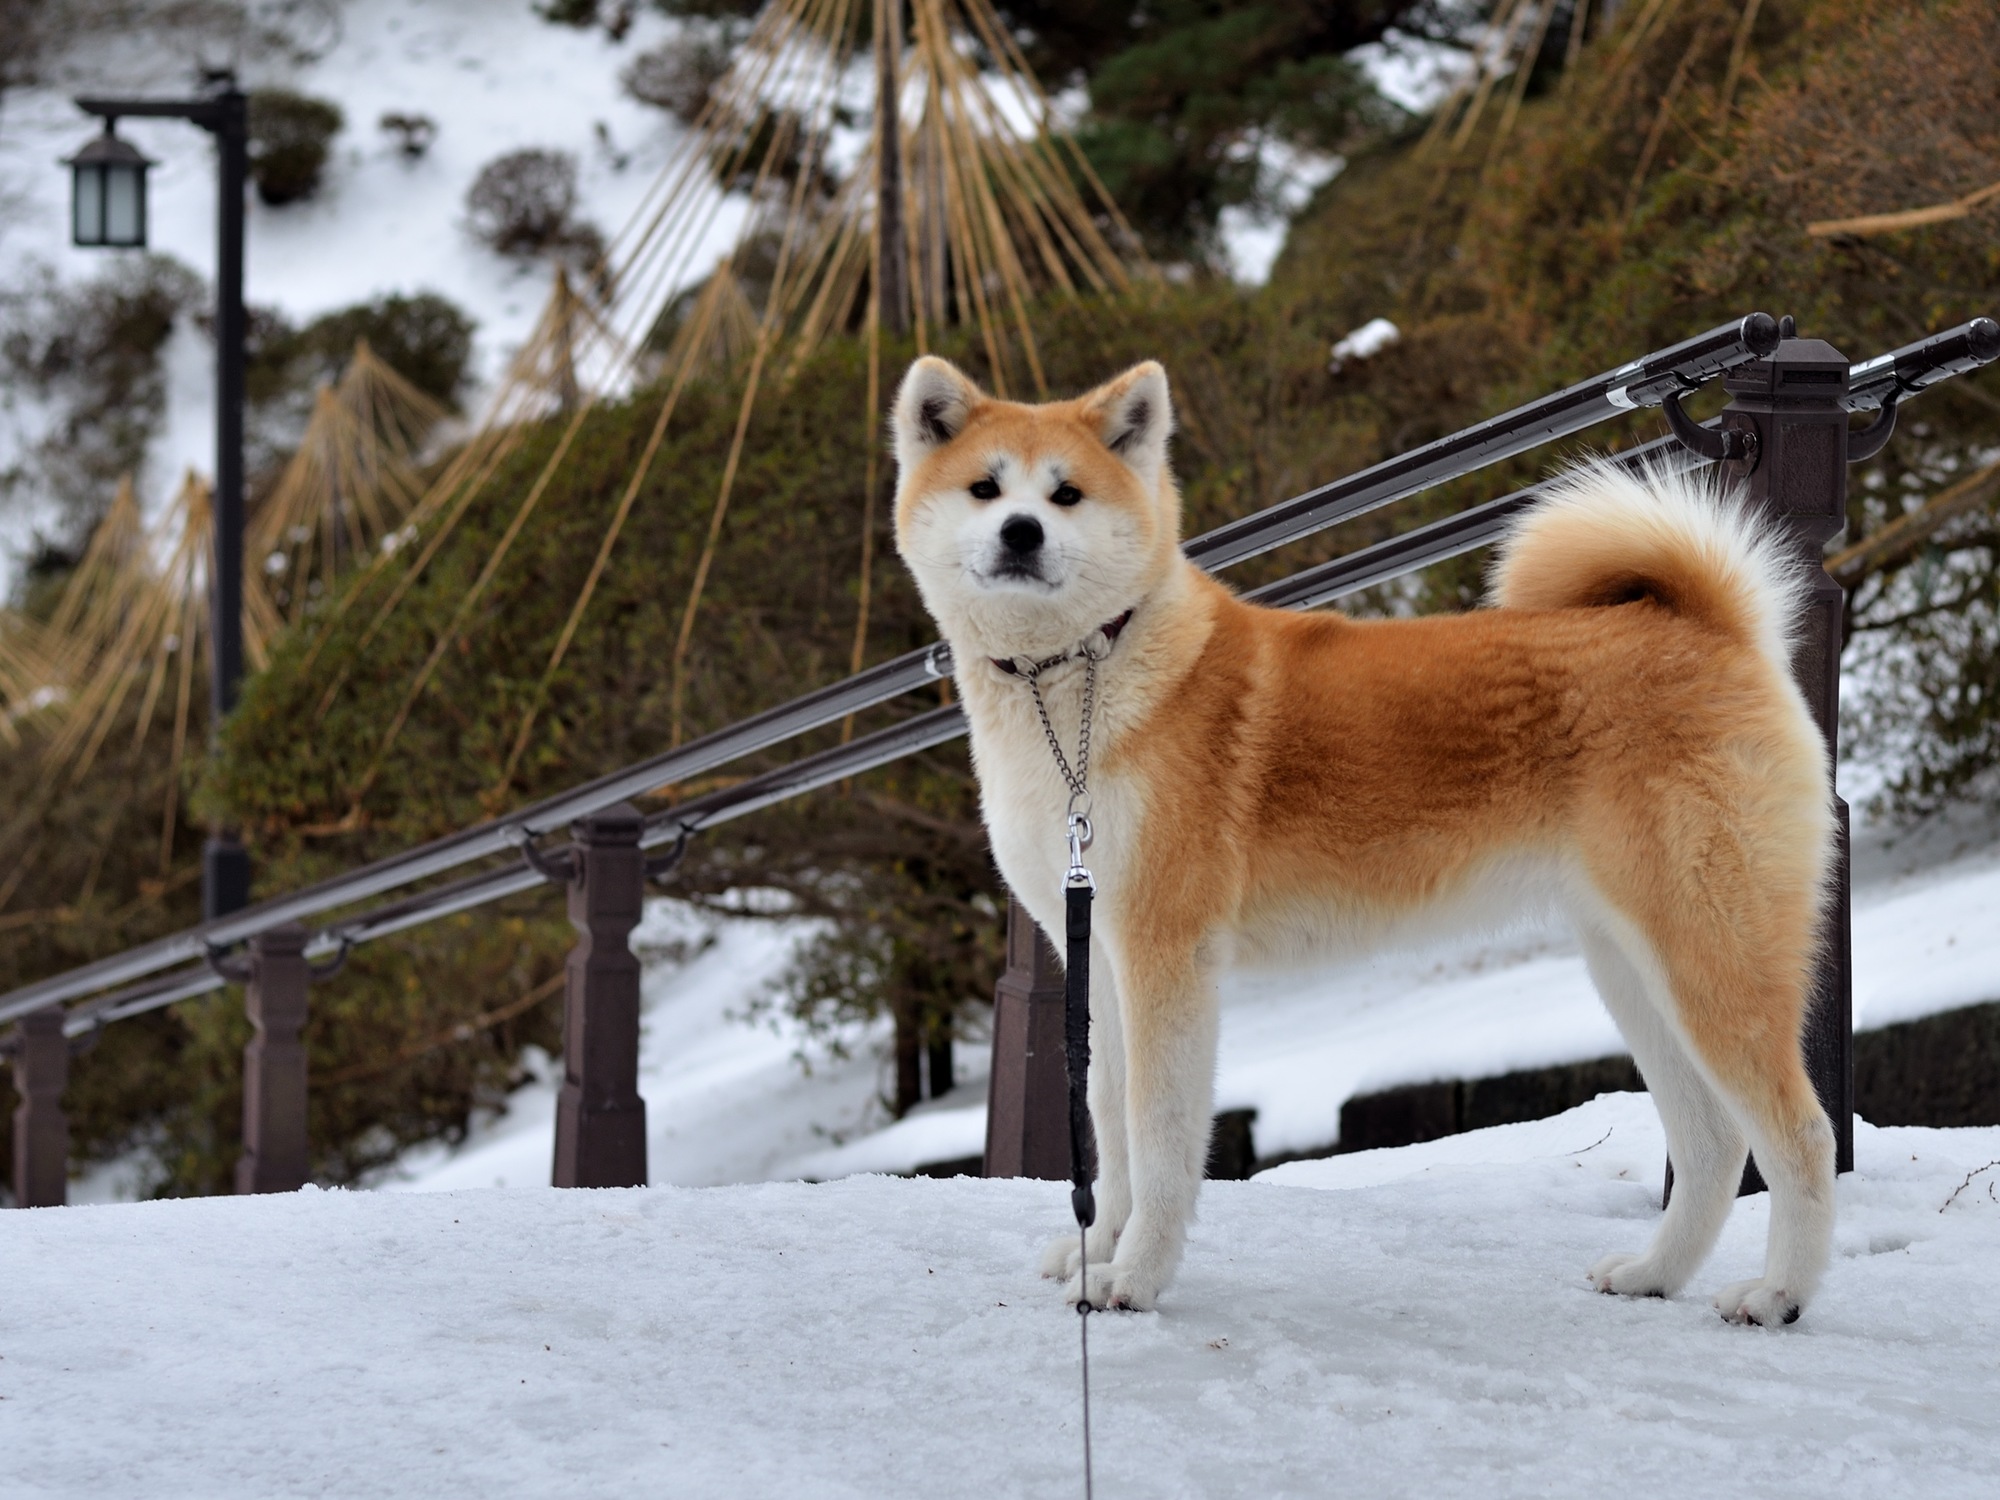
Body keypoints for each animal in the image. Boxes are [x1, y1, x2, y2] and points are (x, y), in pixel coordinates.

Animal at [900, 356, 1832, 1328]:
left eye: (1067, 493)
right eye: (985, 488)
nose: (1020, 531)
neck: (1080, 688)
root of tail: (1710, 627)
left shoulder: (1164, 958)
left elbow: (1157, 1141)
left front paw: (1135, 1277)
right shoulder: (1104, 963)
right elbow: (1110, 1133)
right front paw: (1100, 1249)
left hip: (1709, 959)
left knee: (1802, 1134)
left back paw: (1779, 1293)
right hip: (1633, 968)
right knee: (1714, 1141)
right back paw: (1656, 1272)